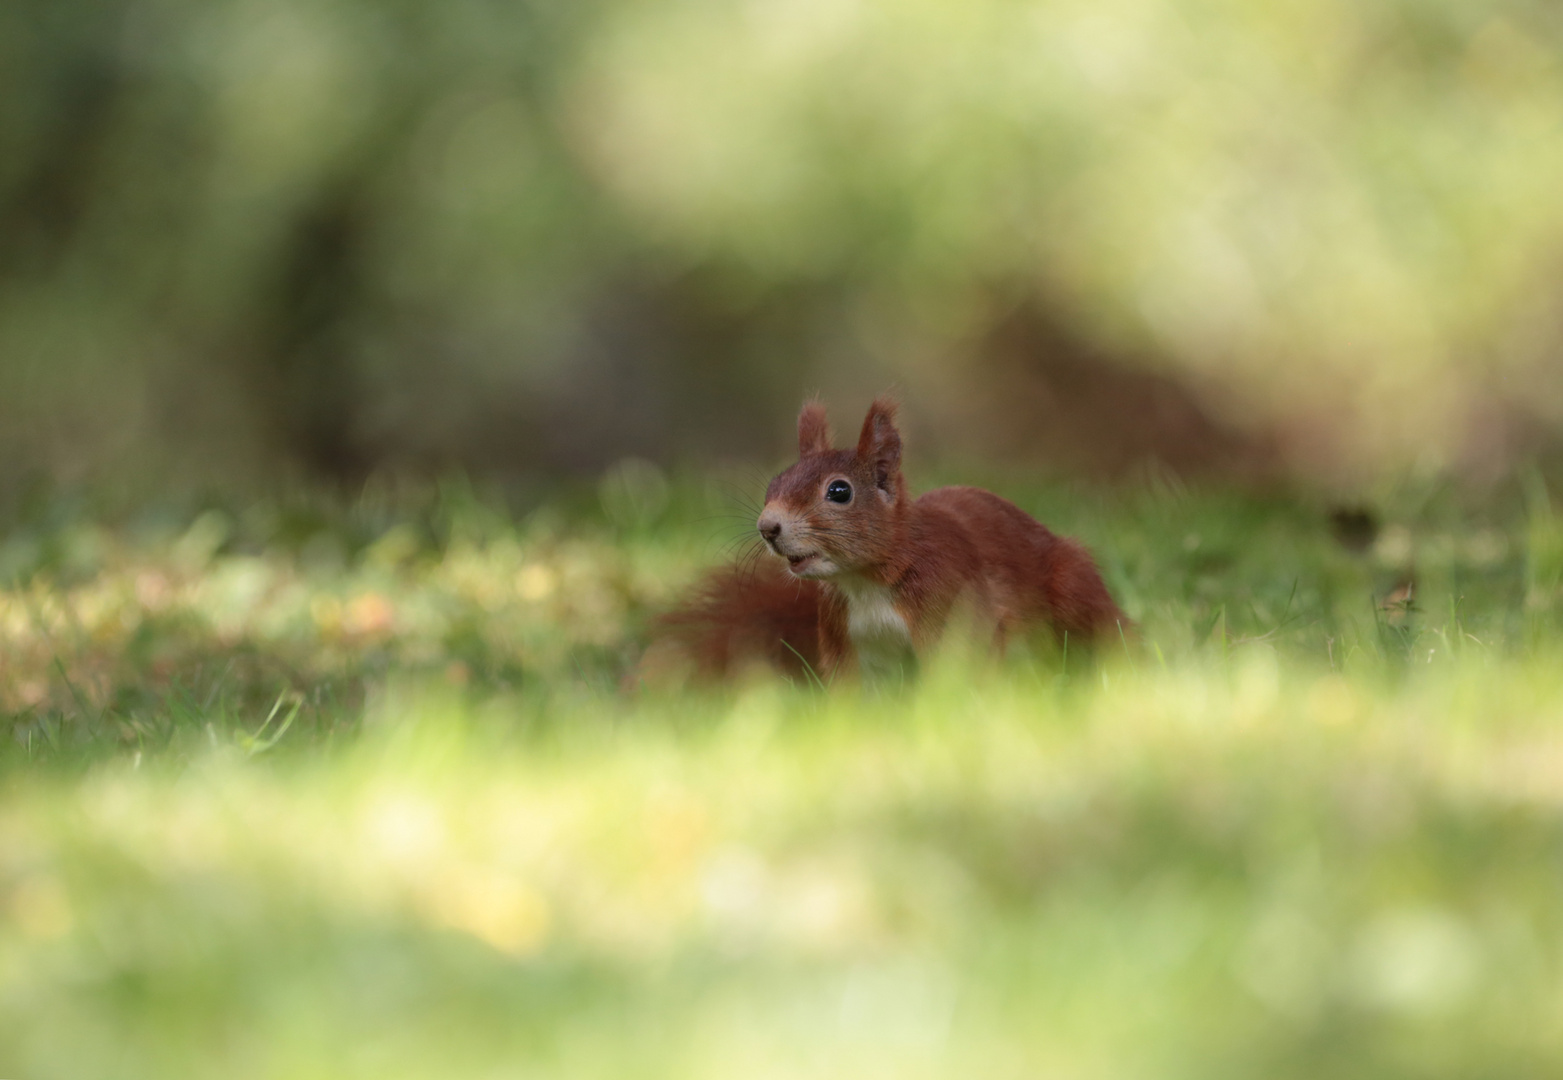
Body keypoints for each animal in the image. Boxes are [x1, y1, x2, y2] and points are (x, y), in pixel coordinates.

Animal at [653, 396, 1131, 684]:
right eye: (775, 482)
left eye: (839, 491)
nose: (767, 527)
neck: (865, 582)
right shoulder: (847, 641)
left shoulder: (950, 608)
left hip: (1071, 587)